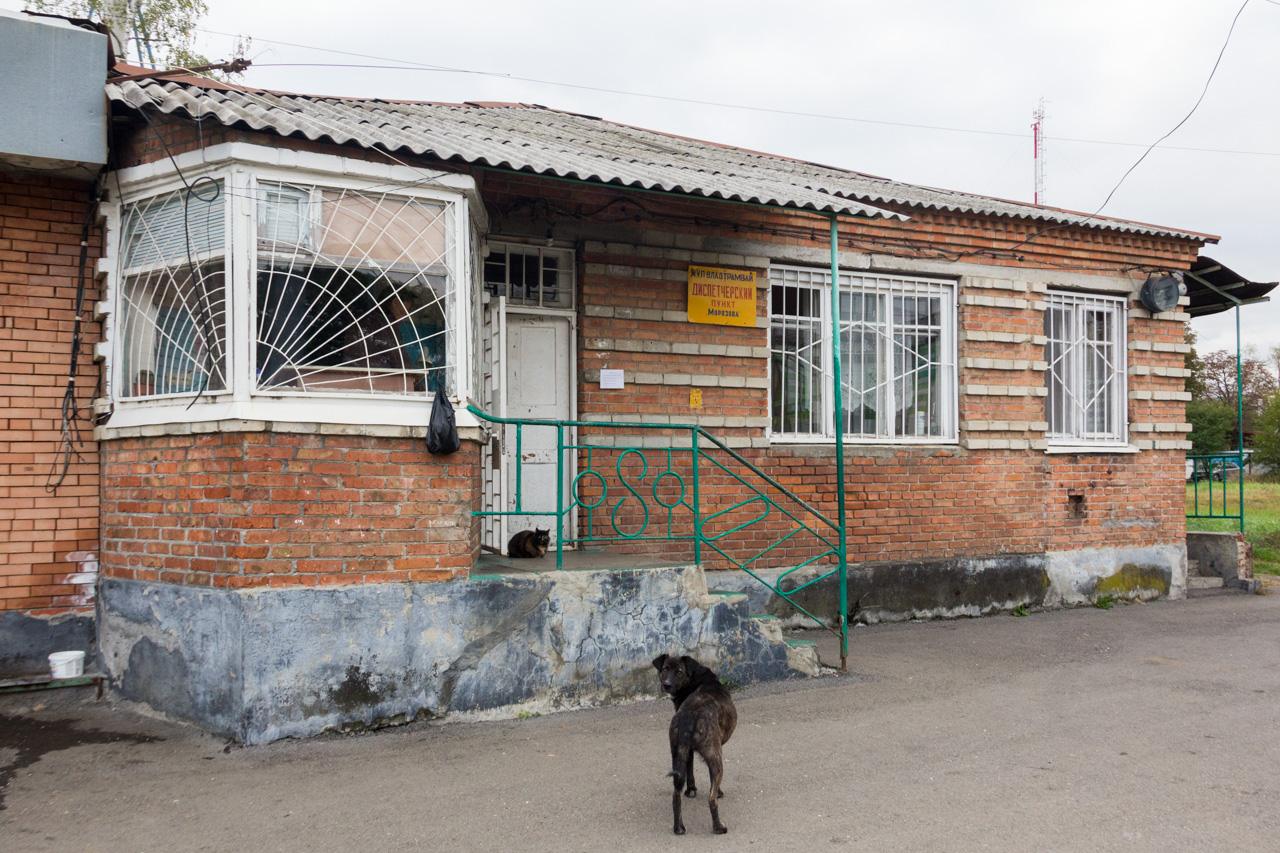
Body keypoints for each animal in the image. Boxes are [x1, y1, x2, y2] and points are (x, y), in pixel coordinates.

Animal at [650, 650, 742, 829]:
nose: (667, 685)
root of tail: (689, 715)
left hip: (676, 753)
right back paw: (718, 827)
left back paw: (679, 828)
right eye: (665, 669)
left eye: (679, 671)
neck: (695, 678)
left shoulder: (687, 750)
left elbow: (690, 770)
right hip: (715, 758)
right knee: (711, 799)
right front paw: (717, 791)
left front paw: (690, 790)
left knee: (675, 795)